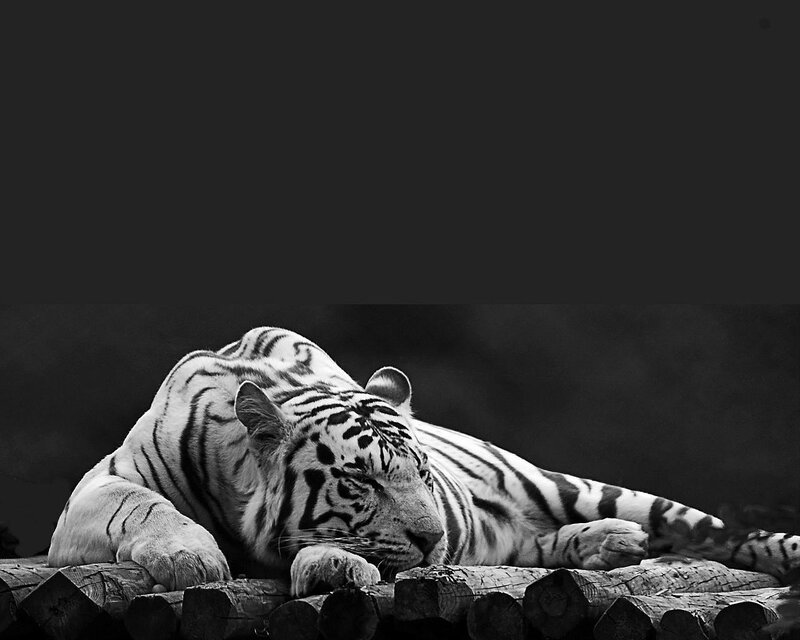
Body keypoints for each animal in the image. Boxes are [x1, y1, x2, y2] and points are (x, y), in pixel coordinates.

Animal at [48, 326, 800, 597]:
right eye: (359, 478)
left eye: (424, 475)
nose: (437, 537)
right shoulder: (101, 485)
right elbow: (140, 506)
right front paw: (190, 557)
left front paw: (329, 564)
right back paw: (610, 545)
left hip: (583, 488)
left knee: (722, 532)